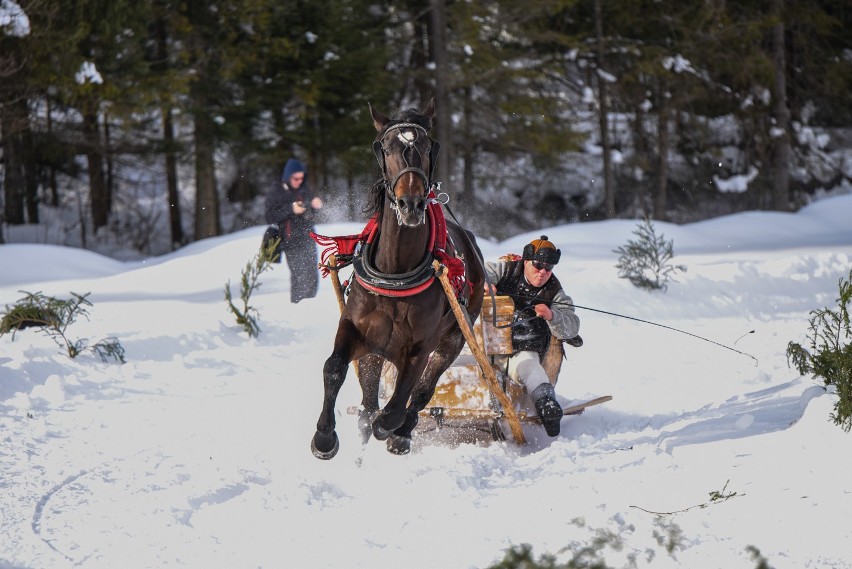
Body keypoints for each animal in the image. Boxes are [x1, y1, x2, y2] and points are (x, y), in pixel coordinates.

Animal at [312, 97, 486, 460]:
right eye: (385, 147)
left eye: (429, 146)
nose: (411, 203)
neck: (395, 273)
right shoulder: (355, 330)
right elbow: (333, 368)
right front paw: (324, 436)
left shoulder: (422, 346)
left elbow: (402, 398)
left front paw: (391, 428)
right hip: (375, 351)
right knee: (368, 399)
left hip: (454, 336)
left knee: (421, 391)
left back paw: (401, 434)